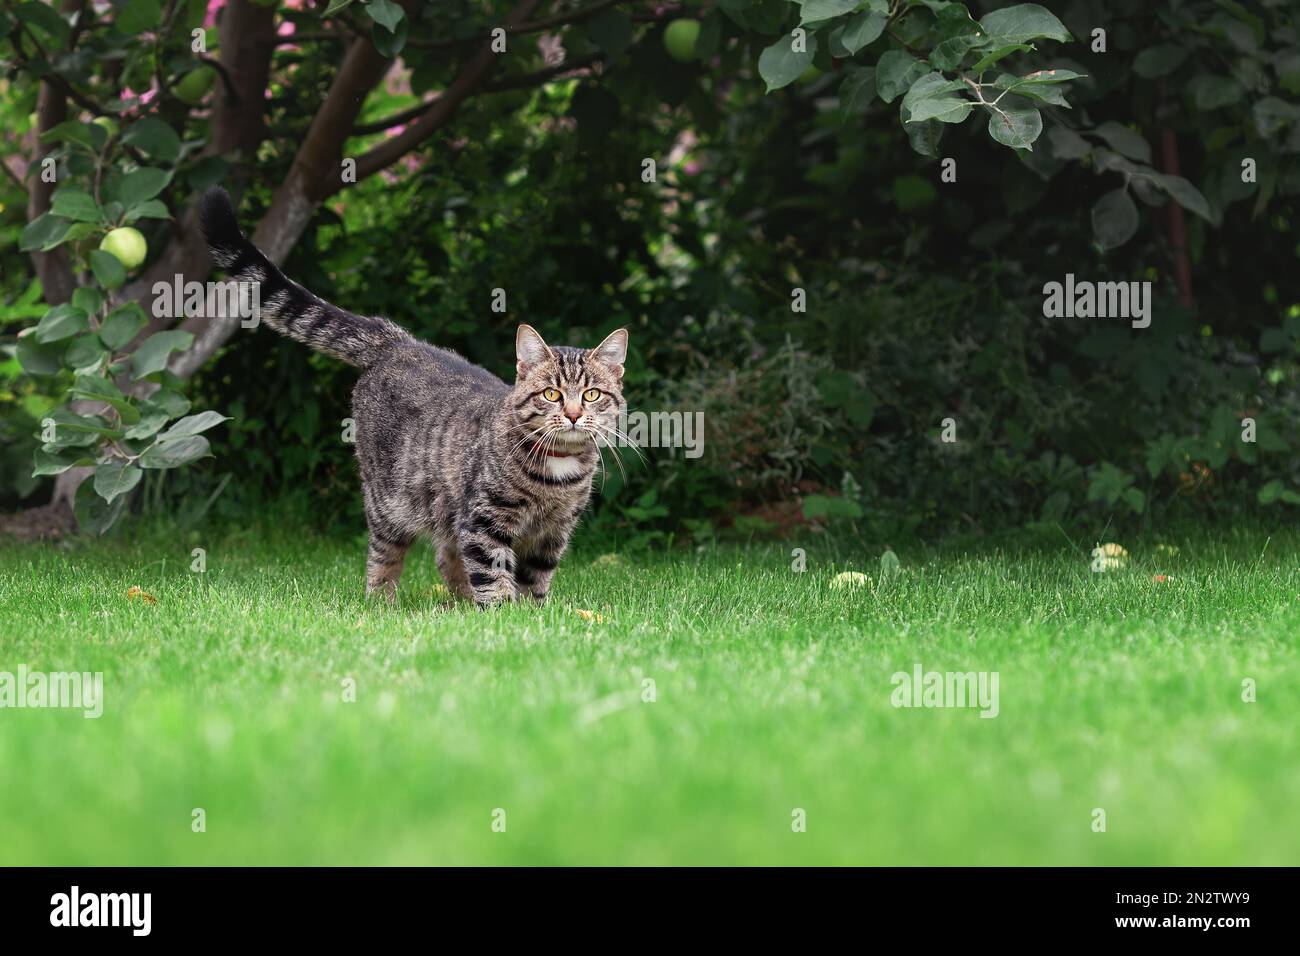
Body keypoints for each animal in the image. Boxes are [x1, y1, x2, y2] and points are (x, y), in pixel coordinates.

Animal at [200, 187, 626, 606]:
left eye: (591, 394)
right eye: (551, 393)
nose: (573, 414)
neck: (557, 472)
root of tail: (396, 339)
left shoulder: (553, 534)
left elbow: (535, 582)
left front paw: (533, 614)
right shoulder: (483, 521)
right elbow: (494, 577)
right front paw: (502, 615)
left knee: (445, 555)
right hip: (389, 502)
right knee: (385, 556)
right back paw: (382, 602)